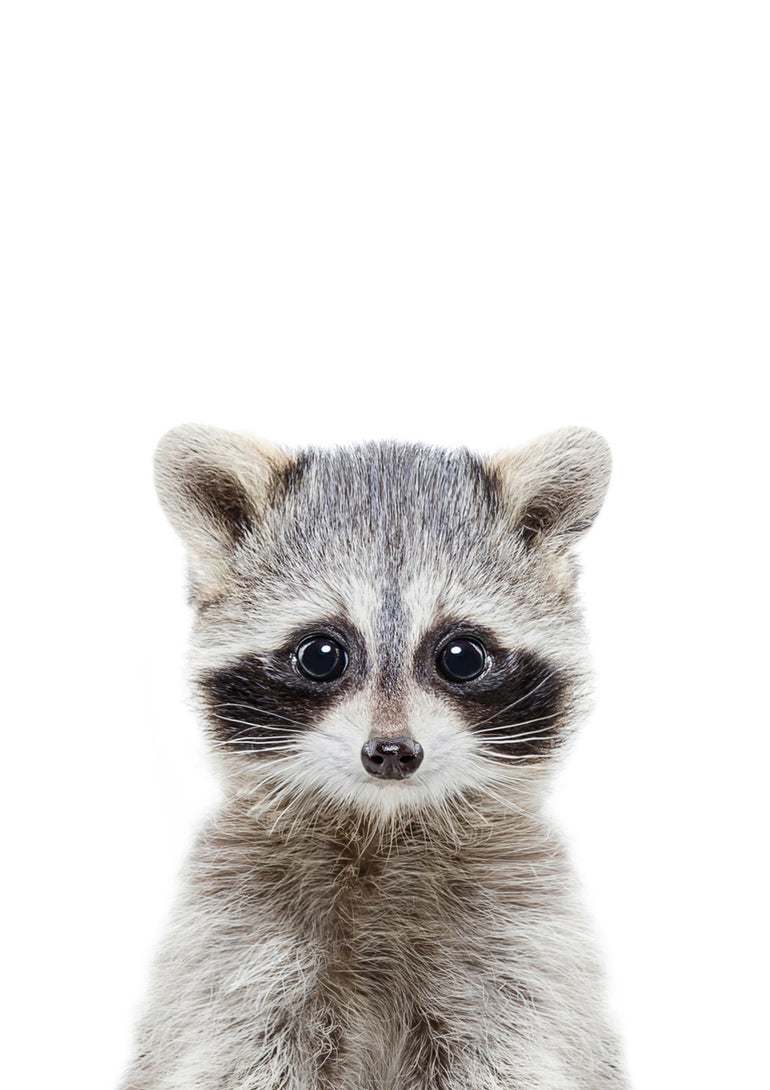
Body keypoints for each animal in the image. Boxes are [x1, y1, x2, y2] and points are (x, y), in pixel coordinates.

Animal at [120, 424, 629, 1090]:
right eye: (321, 655)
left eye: (462, 656)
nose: (391, 753)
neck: (382, 826)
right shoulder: (236, 942)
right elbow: (238, 1053)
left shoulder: (522, 943)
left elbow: (510, 1053)